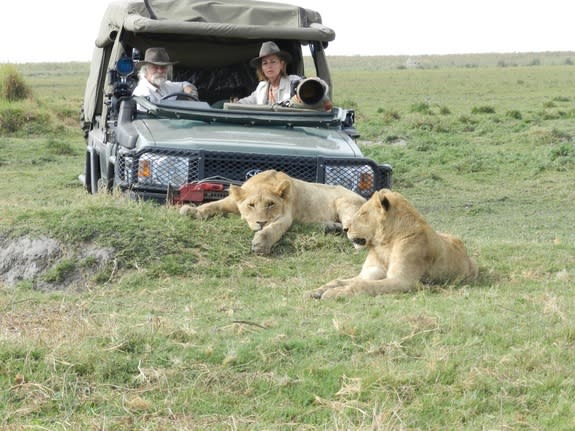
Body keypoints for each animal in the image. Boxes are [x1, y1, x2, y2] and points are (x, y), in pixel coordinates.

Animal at [308, 189, 480, 300]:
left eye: (363, 213)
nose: (345, 229)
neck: (384, 244)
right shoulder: (369, 274)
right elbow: (340, 280)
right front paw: (317, 290)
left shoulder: (403, 281)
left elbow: (364, 286)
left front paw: (333, 293)